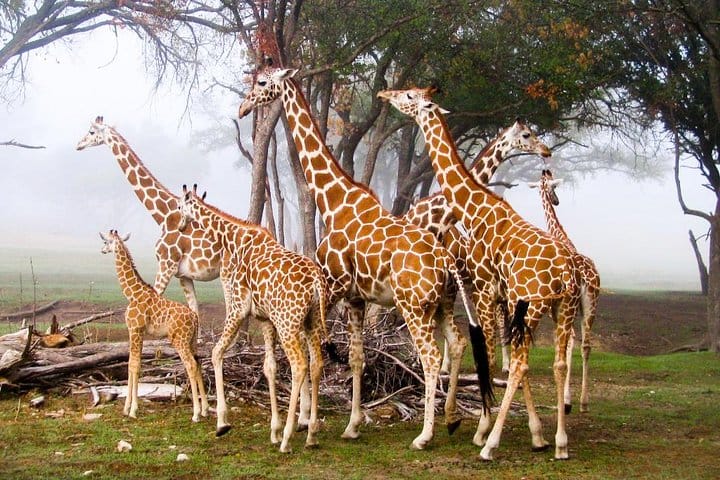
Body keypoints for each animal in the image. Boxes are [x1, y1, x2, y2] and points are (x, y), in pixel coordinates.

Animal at [77, 117, 223, 330]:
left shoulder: (166, 265)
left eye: (91, 132)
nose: (78, 145)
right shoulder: (183, 275)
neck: (163, 216)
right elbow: (195, 312)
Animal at [99, 230, 208, 423]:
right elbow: (132, 364)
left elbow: (135, 366)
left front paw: (133, 410)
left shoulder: (136, 330)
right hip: (192, 341)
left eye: (106, 241)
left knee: (190, 365)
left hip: (179, 340)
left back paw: (195, 414)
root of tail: (194, 317)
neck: (131, 293)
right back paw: (205, 410)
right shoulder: (135, 331)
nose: (102, 250)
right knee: (198, 363)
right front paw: (126, 408)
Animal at [177, 184, 326, 453]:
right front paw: (273, 430)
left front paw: (222, 422)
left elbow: (216, 353)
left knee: (299, 365)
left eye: (179, 205)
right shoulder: (265, 319)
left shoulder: (238, 307)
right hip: (311, 322)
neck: (234, 240)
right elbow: (270, 367)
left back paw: (288, 439)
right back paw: (310, 434)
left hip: (288, 323)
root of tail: (316, 282)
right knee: (316, 364)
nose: (181, 225)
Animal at [237, 65, 485, 450]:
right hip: (442, 302)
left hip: (413, 307)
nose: (243, 108)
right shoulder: (355, 297)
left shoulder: (332, 285)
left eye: (262, 83)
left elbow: (314, 352)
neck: (332, 199)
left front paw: (307, 421)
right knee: (457, 343)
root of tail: (444, 258)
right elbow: (356, 358)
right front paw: (351, 425)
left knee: (430, 357)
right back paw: (453, 419)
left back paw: (425, 435)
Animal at [528, 169, 601, 413]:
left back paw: (569, 401)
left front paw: (565, 400)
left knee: (572, 342)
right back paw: (584, 402)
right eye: (554, 188)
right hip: (590, 306)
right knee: (586, 345)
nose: (557, 201)